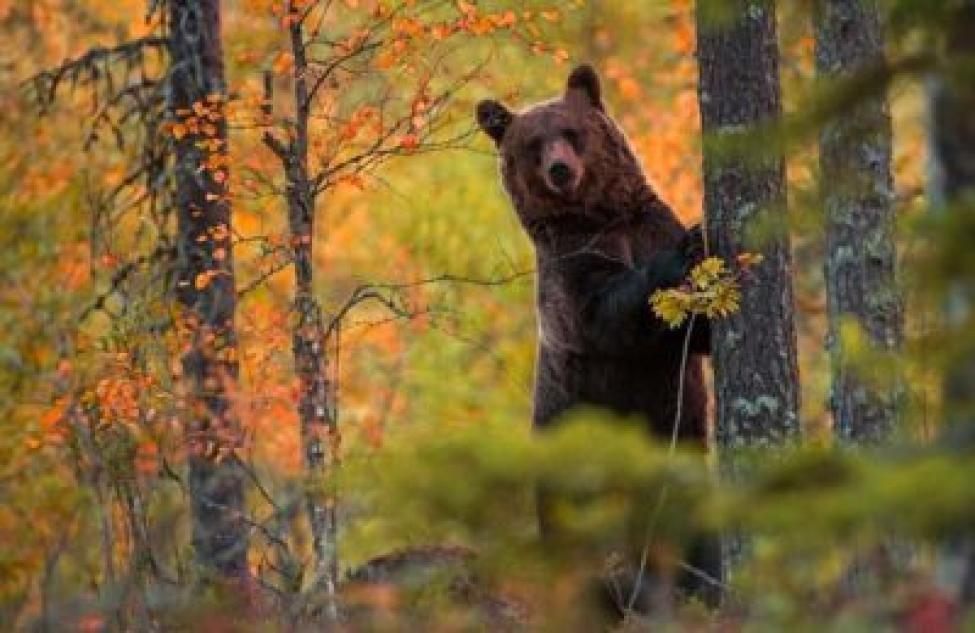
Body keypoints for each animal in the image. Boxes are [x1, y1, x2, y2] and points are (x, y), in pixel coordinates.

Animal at [478, 63, 716, 608]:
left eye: (571, 132)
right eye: (533, 144)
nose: (560, 171)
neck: (602, 217)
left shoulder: (644, 224)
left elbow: (694, 336)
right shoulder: (570, 268)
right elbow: (607, 314)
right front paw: (687, 249)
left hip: (682, 450)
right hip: (574, 453)